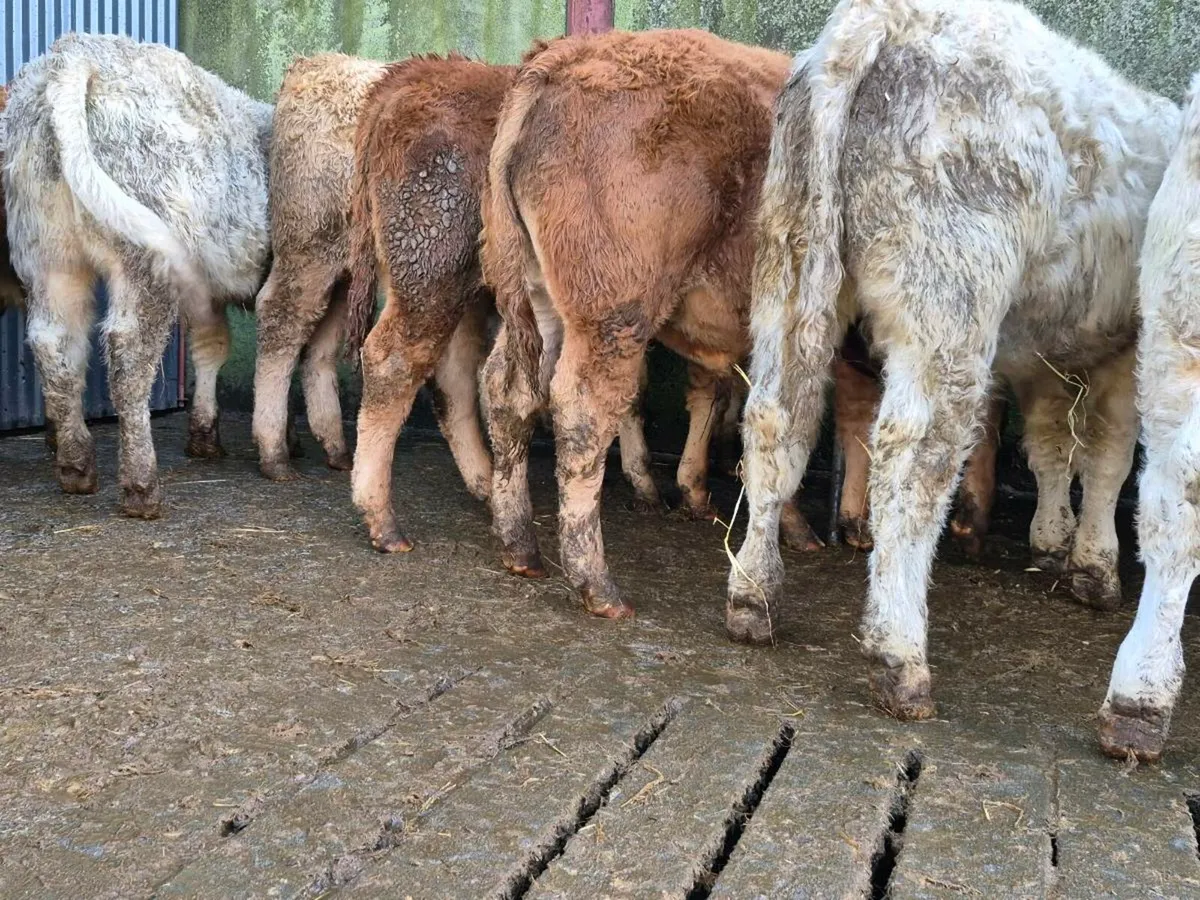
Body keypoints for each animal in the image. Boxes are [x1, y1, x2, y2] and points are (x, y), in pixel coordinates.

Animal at [5, 33, 273, 518]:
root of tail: (75, 53)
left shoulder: (205, 288)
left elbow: (211, 346)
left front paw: (204, 435)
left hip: (48, 255)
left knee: (55, 344)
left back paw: (76, 466)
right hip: (143, 257)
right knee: (128, 352)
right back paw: (141, 485)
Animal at [252, 53, 387, 481]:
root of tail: (312, 63)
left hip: (342, 272)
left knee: (318, 350)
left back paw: (336, 447)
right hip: (309, 251)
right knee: (281, 321)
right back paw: (274, 452)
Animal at [729, 0, 1179, 719]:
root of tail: (882, 21)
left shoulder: (1042, 357)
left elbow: (1050, 447)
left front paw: (1052, 539)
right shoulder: (1126, 348)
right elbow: (1108, 457)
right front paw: (1094, 564)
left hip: (788, 267)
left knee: (777, 419)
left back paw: (752, 595)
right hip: (947, 303)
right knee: (911, 462)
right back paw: (899, 655)